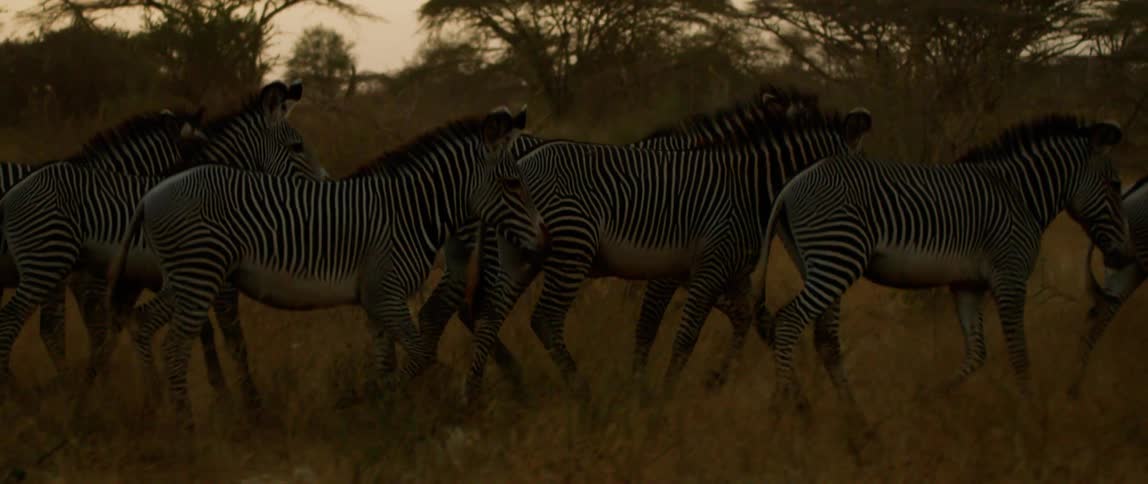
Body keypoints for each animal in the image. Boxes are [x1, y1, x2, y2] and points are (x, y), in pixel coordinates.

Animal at [106, 107, 548, 427]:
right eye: (513, 183)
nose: (544, 242)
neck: (409, 212)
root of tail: (150, 196)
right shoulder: (386, 295)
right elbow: (422, 354)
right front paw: (365, 401)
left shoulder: (374, 302)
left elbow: (388, 362)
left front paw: (388, 417)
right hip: (199, 276)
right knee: (174, 346)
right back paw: (186, 427)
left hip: (187, 278)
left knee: (144, 322)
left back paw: (158, 407)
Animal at [406, 85, 829, 396]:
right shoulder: (680, 269)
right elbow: (655, 325)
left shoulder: (704, 269)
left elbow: (754, 317)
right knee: (466, 311)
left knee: (460, 311)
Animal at [752, 115, 1131, 415]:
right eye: (1115, 185)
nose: (1124, 256)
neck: (1021, 197)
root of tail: (791, 185)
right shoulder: (1010, 276)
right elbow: (1019, 353)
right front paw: (1033, 417)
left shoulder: (968, 285)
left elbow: (978, 352)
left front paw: (925, 399)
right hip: (837, 258)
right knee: (788, 322)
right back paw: (785, 410)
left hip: (819, 262)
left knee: (824, 337)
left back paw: (855, 424)